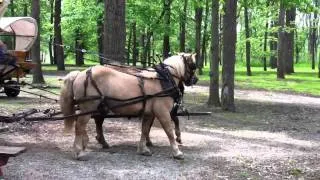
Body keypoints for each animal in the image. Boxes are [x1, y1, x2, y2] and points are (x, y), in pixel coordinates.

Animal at [58, 52, 196, 160]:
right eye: (192, 65)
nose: (195, 79)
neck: (162, 80)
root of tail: (80, 74)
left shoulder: (149, 113)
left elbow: (145, 130)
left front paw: (143, 149)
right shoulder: (162, 112)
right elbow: (169, 131)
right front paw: (177, 152)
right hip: (89, 107)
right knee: (80, 126)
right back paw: (79, 152)